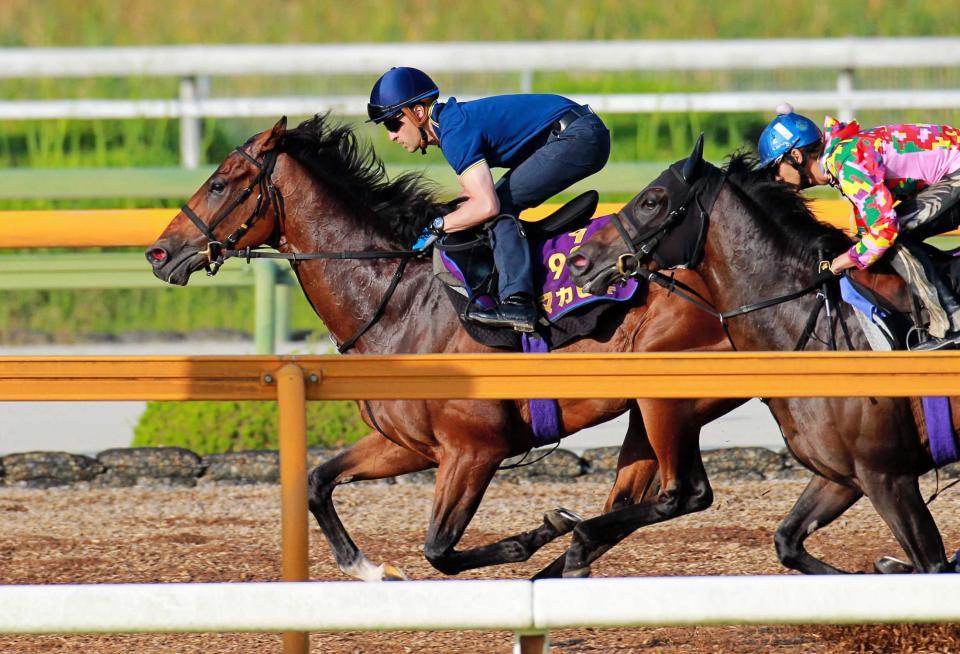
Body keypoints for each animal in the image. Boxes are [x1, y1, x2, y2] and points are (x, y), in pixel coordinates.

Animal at [146, 115, 740, 580]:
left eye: (220, 184)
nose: (158, 253)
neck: (398, 303)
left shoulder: (474, 451)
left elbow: (439, 550)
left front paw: (541, 531)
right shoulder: (407, 444)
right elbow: (316, 481)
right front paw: (370, 570)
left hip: (664, 401)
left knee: (679, 493)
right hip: (649, 410)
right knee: (637, 497)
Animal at [568, 145, 956, 580]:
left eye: (652, 200)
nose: (579, 260)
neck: (812, 324)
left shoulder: (889, 477)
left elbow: (933, 565)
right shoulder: (845, 475)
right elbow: (788, 541)